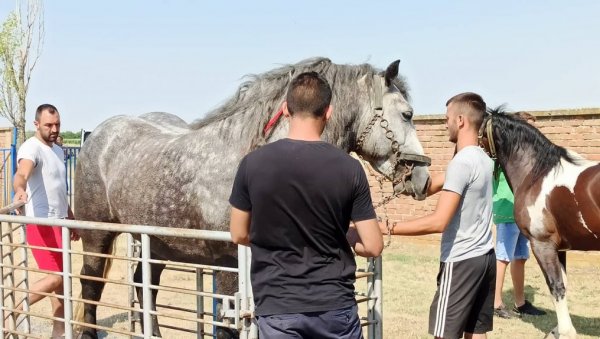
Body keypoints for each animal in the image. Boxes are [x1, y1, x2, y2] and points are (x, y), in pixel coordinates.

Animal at [75, 57, 432, 338]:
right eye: (407, 114)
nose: (424, 178)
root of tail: (99, 135)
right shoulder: (228, 262)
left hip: (156, 241)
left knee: (143, 286)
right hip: (97, 234)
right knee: (90, 283)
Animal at [480, 110, 596, 338]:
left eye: (479, 132)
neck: (536, 175)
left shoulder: (542, 244)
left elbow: (556, 286)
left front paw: (566, 333)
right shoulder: (560, 248)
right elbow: (563, 284)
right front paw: (558, 330)